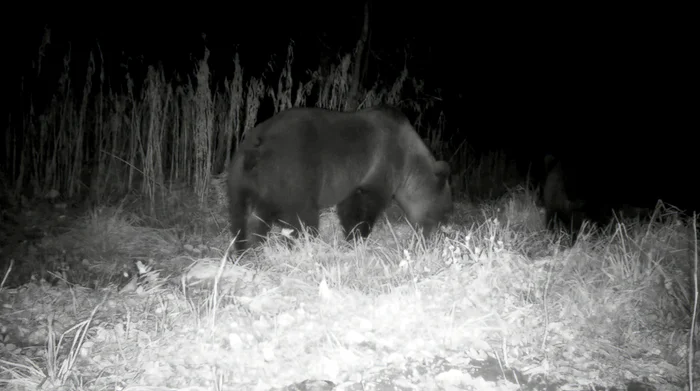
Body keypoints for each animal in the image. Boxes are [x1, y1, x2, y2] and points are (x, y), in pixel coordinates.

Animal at [227, 105, 452, 256]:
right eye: (442, 211)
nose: (433, 237)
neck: (409, 164)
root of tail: (257, 146)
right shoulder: (383, 164)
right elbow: (362, 205)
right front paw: (357, 237)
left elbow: (348, 205)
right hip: (293, 173)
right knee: (302, 216)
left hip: (241, 180)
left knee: (245, 219)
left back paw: (247, 250)